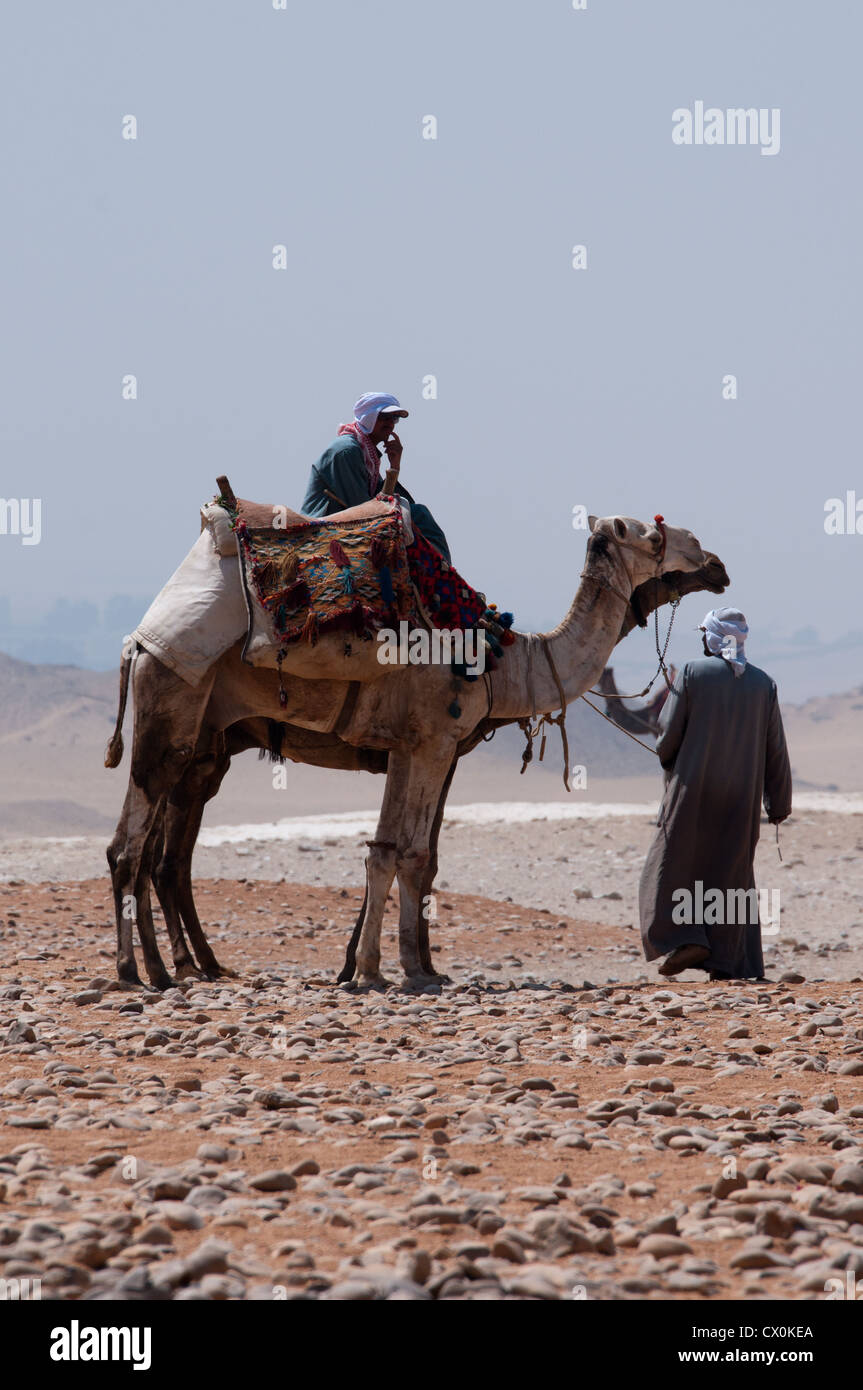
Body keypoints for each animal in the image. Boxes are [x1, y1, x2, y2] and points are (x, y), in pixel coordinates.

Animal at [106, 514, 728, 990]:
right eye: (653, 534)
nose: (717, 562)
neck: (505, 661)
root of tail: (138, 643)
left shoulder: (415, 748)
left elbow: (396, 853)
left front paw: (382, 967)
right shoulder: (431, 742)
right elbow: (407, 855)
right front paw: (396, 970)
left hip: (198, 741)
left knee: (151, 852)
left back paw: (175, 968)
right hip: (175, 715)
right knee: (132, 849)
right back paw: (144, 972)